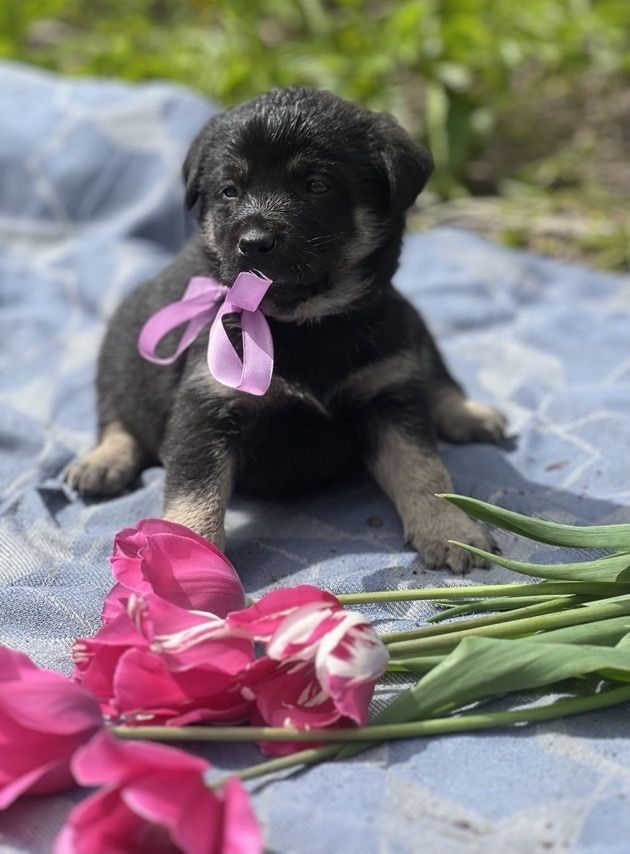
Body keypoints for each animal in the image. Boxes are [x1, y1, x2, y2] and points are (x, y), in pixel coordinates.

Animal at [68, 85, 508, 576]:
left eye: (317, 186)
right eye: (229, 191)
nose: (253, 242)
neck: (302, 324)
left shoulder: (390, 394)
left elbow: (423, 467)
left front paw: (449, 528)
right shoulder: (207, 408)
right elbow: (194, 493)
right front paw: (187, 561)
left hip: (411, 325)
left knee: (438, 377)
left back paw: (468, 413)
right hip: (121, 351)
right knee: (115, 414)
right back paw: (104, 460)